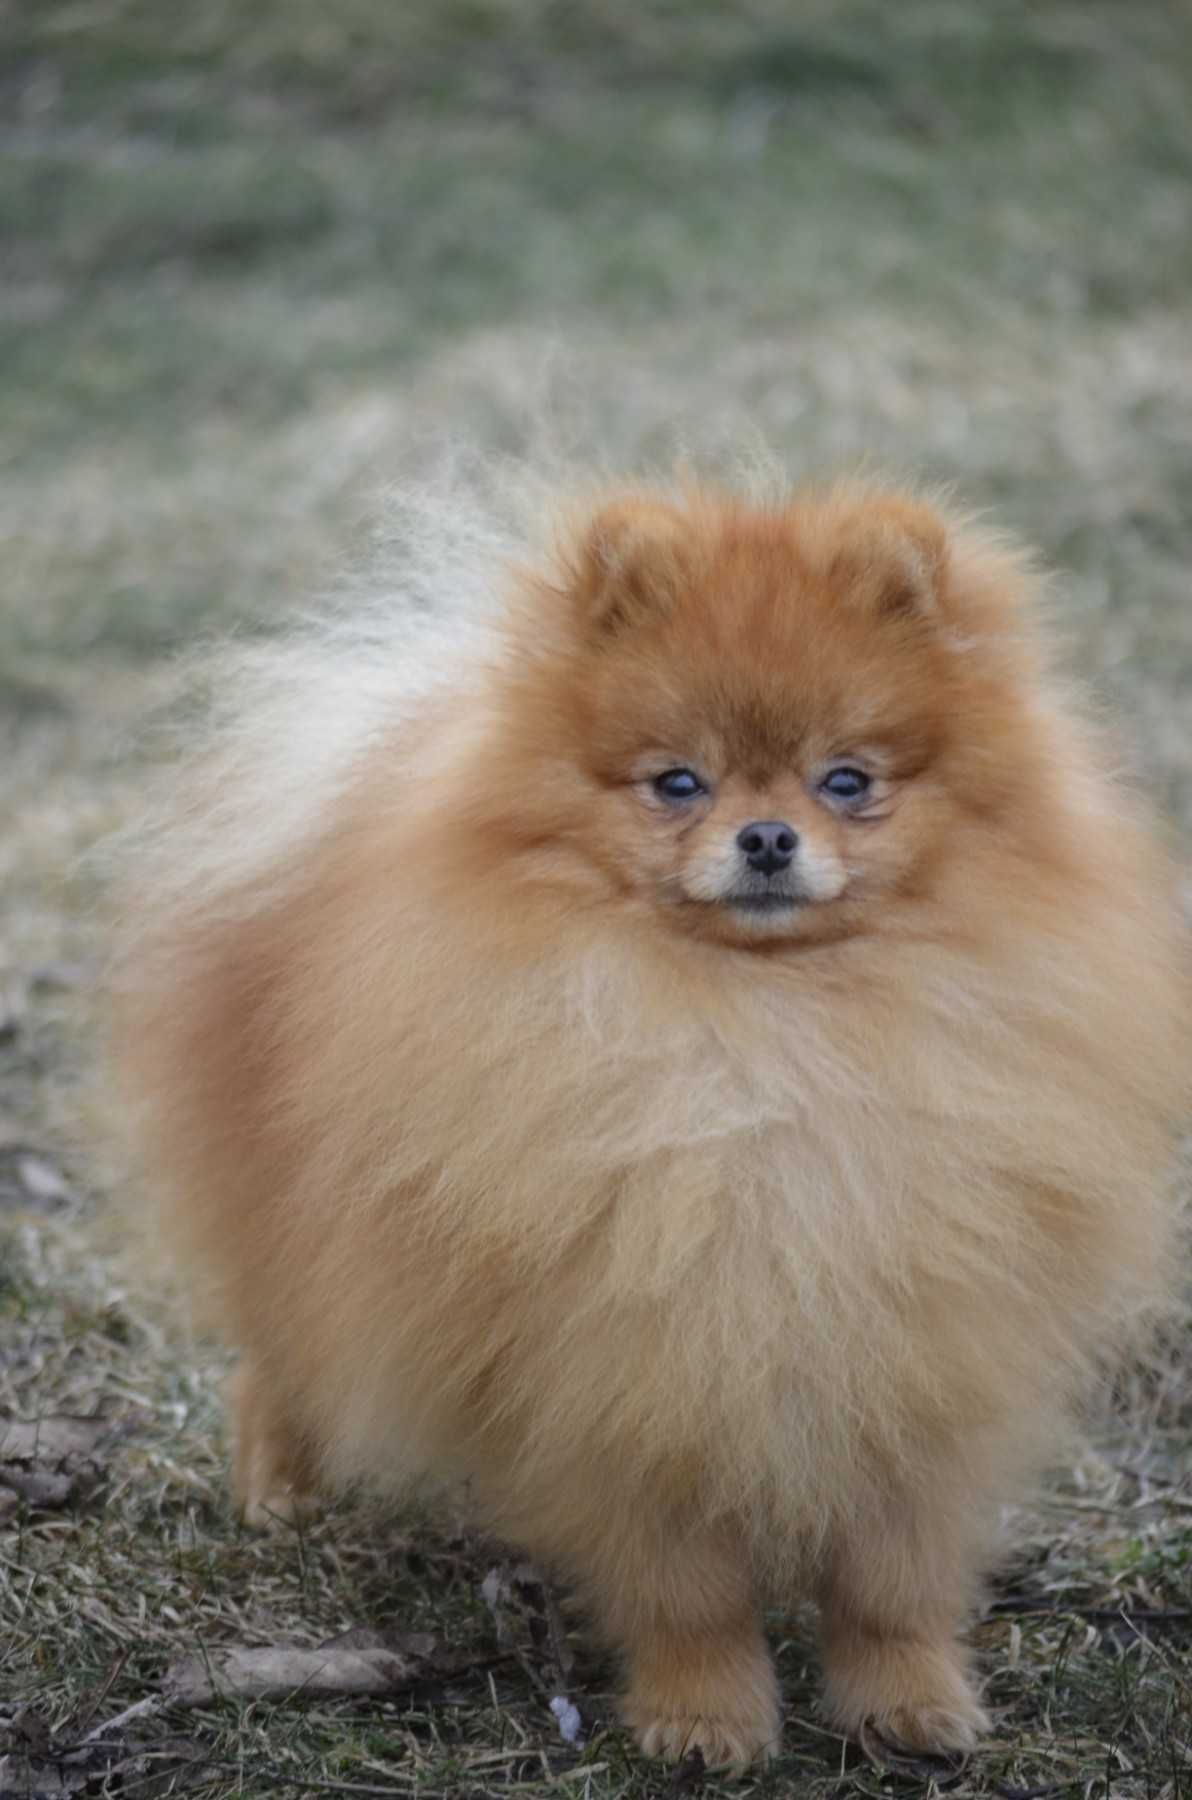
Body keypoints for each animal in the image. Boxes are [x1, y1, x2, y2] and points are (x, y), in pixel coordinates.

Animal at [112, 471, 1188, 1764]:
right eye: (678, 782)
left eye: (848, 781)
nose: (766, 837)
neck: (767, 1053)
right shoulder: (625, 1379)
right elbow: (691, 1592)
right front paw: (705, 1716)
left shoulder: (916, 1363)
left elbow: (889, 1580)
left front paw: (909, 1703)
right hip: (304, 1247)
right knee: (279, 1361)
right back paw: (279, 1489)